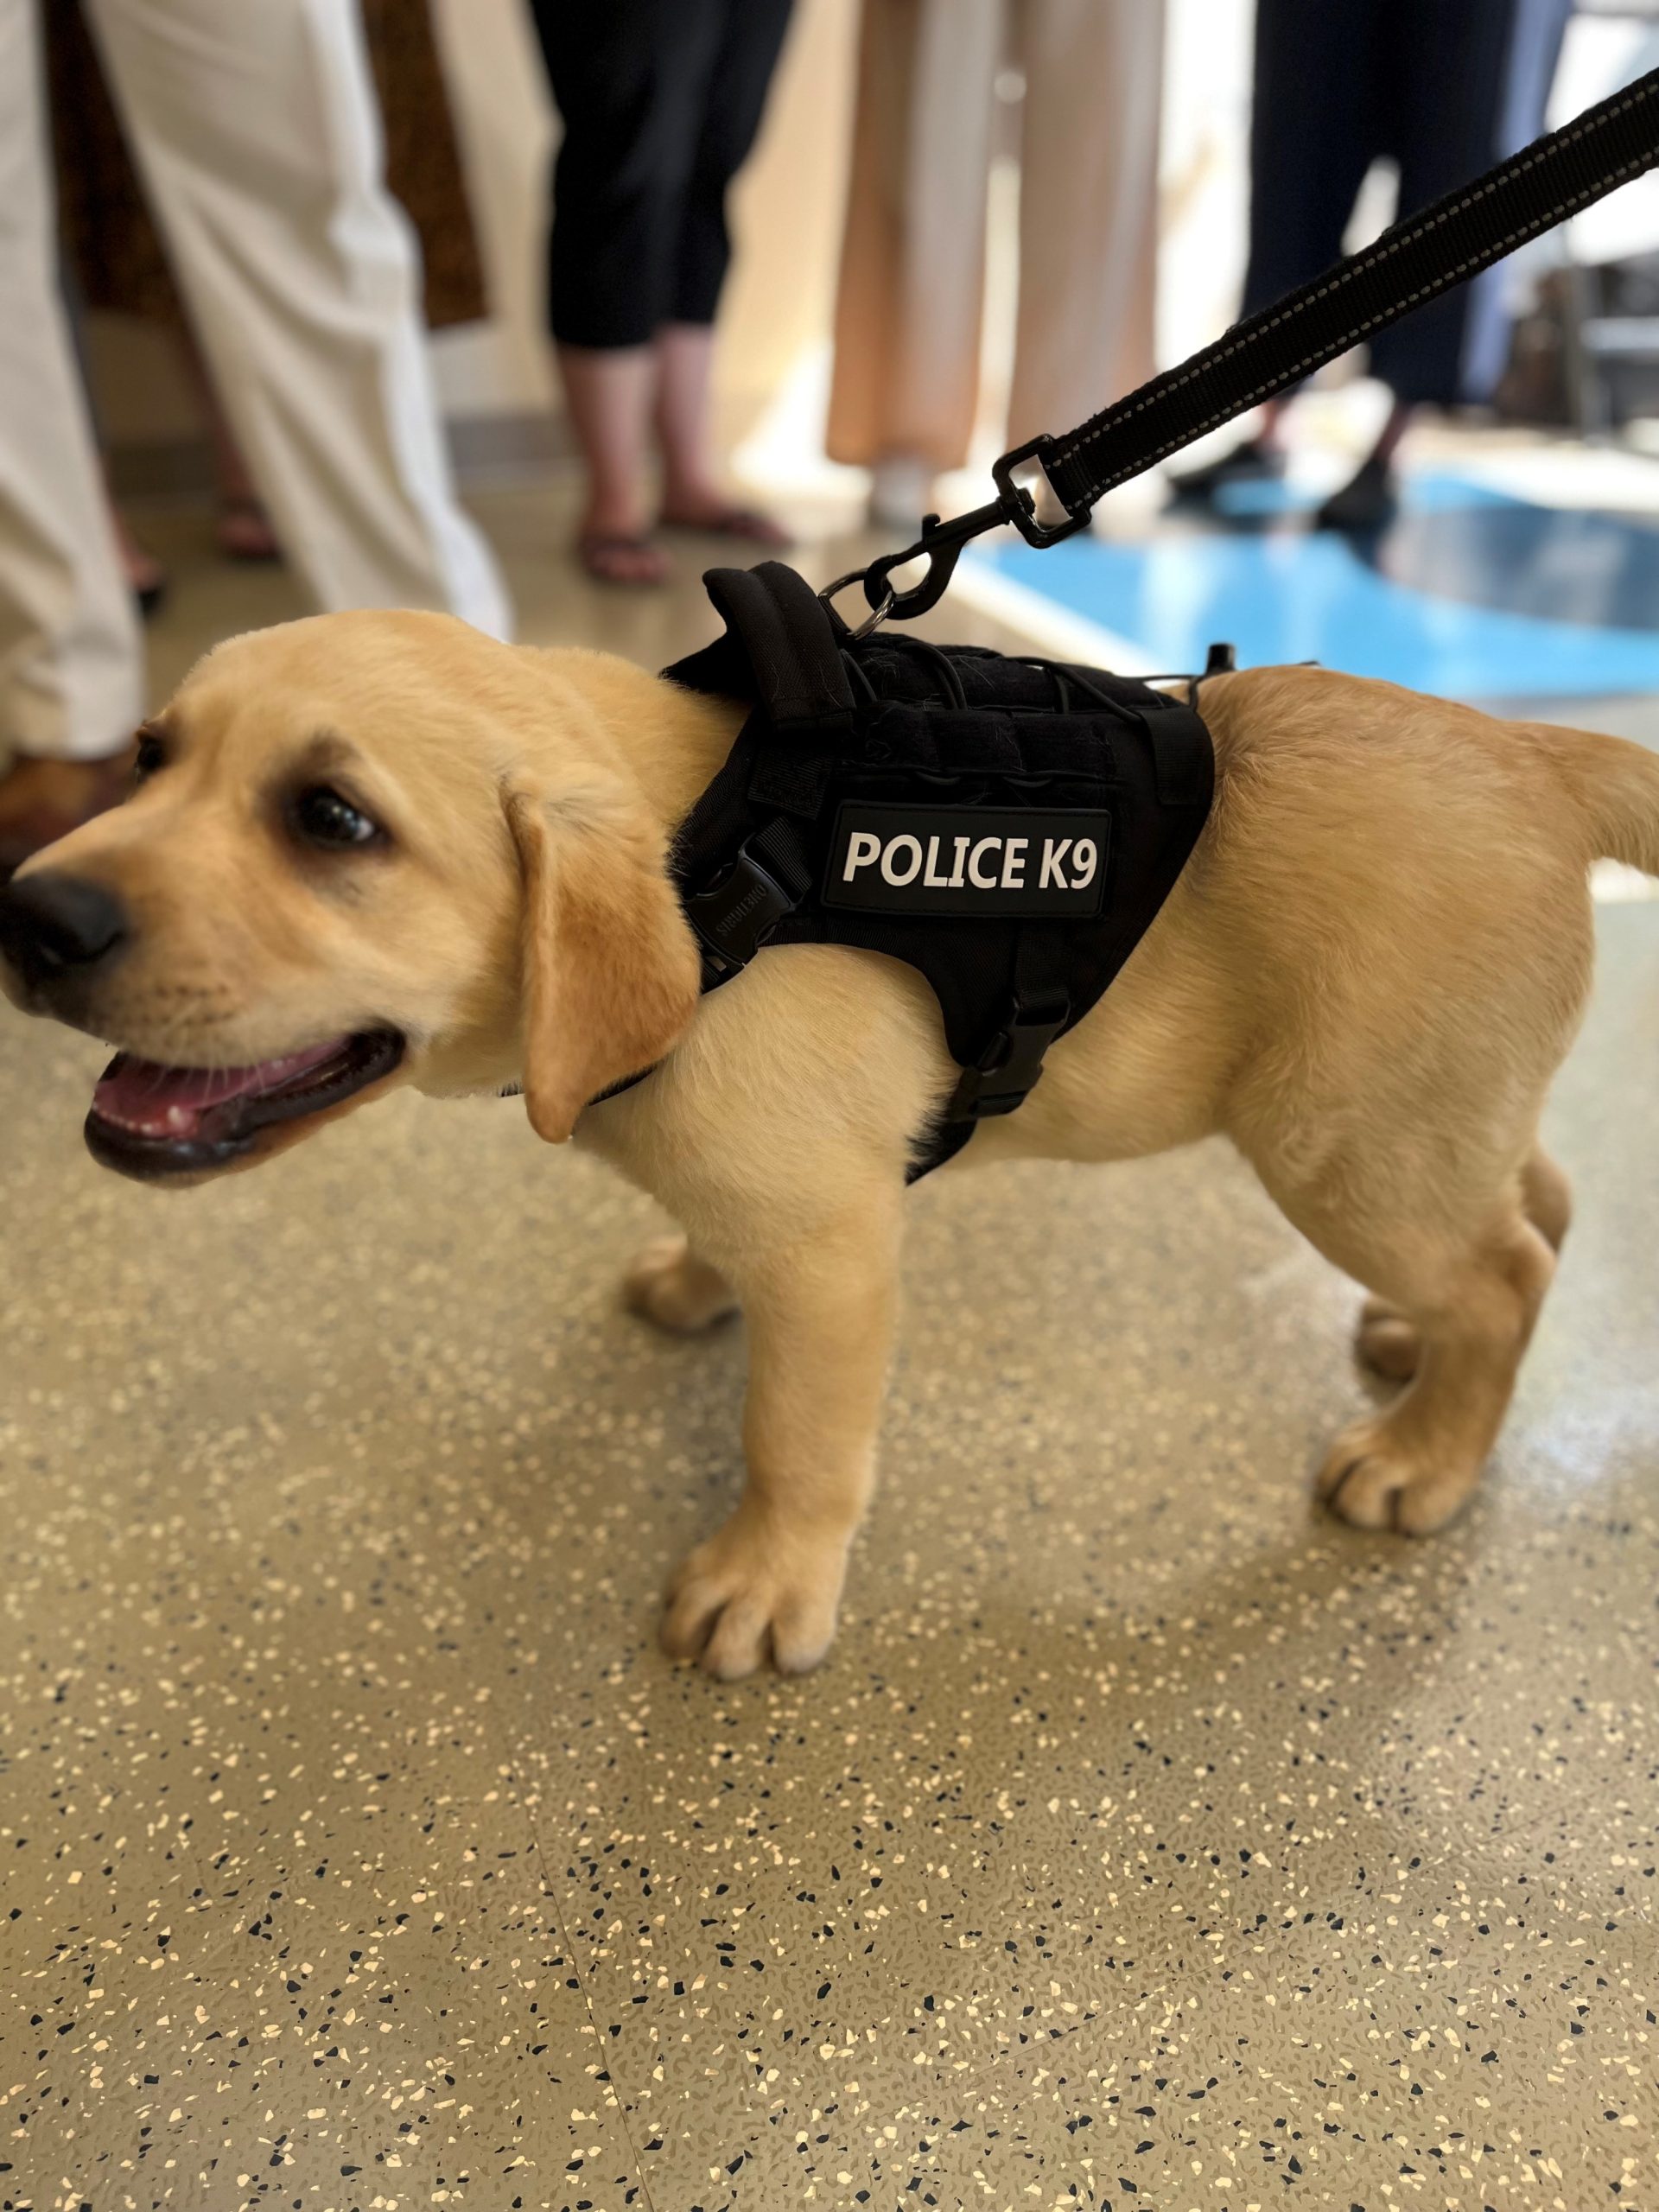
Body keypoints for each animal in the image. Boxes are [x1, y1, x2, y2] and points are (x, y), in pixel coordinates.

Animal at [0, 610, 1654, 1672]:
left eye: (334, 821)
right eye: (145, 757)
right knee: (1539, 1198)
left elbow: (793, 1439)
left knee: (1507, 1271)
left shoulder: (831, 1251)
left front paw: (763, 1584)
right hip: (1420, 1120)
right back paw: (1413, 1352)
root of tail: (1538, 754)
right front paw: (687, 1275)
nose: (30, 915)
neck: (726, 865)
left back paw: (1426, 1457)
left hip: (1340, 1144)